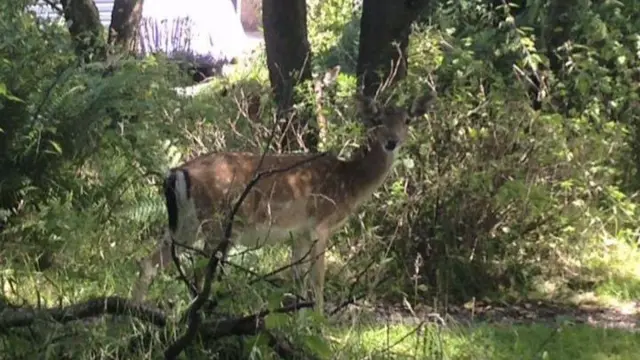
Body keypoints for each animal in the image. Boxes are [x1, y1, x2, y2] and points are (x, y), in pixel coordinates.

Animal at [133, 90, 436, 312]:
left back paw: (139, 311)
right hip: (217, 223)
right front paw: (320, 324)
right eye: (378, 120)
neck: (349, 183)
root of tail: (176, 172)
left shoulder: (298, 232)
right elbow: (317, 280)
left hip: (185, 225)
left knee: (149, 262)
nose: (392, 142)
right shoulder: (319, 223)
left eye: (408, 120)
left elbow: (298, 279)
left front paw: (299, 322)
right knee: (200, 271)